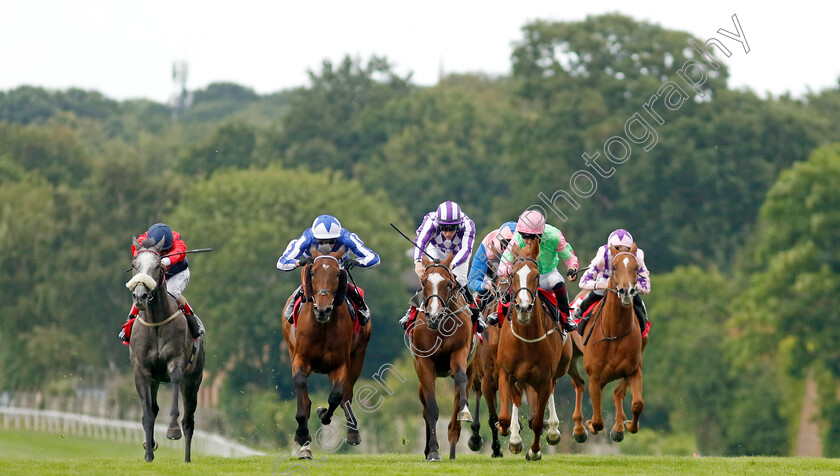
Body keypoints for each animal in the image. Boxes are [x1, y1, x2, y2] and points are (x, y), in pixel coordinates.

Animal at [125, 237, 206, 462]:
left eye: (157, 265)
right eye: (134, 264)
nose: (140, 296)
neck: (156, 322)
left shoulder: (176, 362)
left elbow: (176, 381)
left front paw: (172, 430)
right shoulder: (142, 372)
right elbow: (148, 414)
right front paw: (148, 453)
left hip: (194, 380)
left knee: (189, 421)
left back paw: (187, 458)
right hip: (155, 381)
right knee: (154, 408)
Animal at [280, 245, 370, 458]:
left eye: (337, 273)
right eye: (312, 272)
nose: (323, 309)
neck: (322, 327)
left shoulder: (340, 363)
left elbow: (336, 396)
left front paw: (323, 414)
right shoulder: (300, 358)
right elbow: (302, 394)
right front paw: (302, 435)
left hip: (358, 356)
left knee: (347, 395)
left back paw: (352, 432)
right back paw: (305, 447)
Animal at [408, 255, 480, 460]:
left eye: (448, 284)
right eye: (424, 282)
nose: (434, 316)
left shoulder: (459, 352)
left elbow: (460, 380)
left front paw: (464, 411)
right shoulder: (424, 364)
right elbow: (431, 409)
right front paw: (433, 451)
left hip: (472, 368)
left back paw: (453, 451)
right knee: (425, 408)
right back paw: (428, 449)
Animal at [496, 242, 576, 462]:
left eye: (537, 275)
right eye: (513, 274)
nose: (523, 307)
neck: (527, 339)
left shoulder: (545, 378)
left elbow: (539, 422)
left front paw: (534, 450)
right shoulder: (505, 373)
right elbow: (504, 417)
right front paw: (509, 434)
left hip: (557, 370)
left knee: (549, 395)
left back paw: (553, 431)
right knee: (518, 398)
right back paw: (515, 438)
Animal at [568, 244, 648, 444]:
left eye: (636, 268)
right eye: (613, 267)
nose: (626, 292)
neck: (614, 332)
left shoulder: (633, 370)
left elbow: (637, 403)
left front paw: (627, 425)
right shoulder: (595, 378)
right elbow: (597, 421)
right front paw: (589, 424)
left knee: (617, 393)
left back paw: (618, 427)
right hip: (570, 358)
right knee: (578, 384)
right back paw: (579, 429)